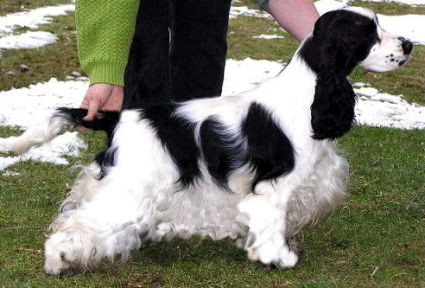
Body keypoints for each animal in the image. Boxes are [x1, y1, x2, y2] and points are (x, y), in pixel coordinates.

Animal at [0, 6, 410, 274]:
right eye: (370, 32)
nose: (407, 44)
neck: (310, 92)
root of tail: (117, 117)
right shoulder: (275, 186)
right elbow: (272, 222)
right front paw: (279, 258)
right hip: (128, 191)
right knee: (76, 228)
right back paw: (57, 263)